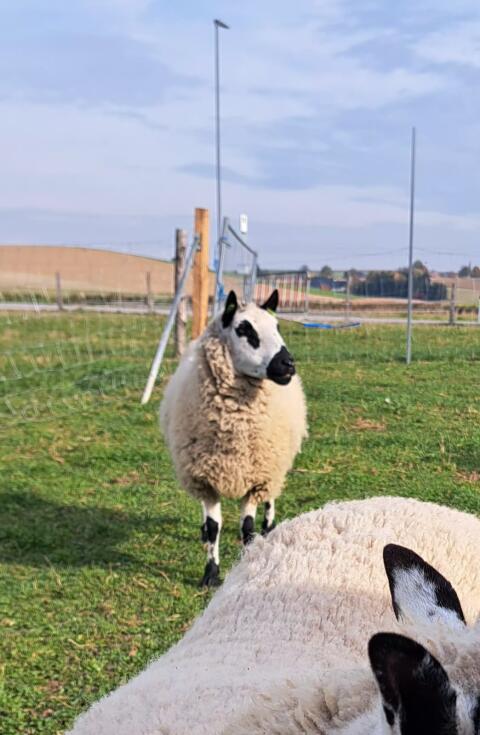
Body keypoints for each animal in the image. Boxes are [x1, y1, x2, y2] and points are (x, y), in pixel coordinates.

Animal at [159, 288, 308, 587]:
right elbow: (214, 527)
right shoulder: (205, 479)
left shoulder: (257, 476)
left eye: (277, 327)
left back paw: (269, 526)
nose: (288, 364)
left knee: (270, 499)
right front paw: (210, 572)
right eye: (244, 329)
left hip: (273, 465)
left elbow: (247, 527)